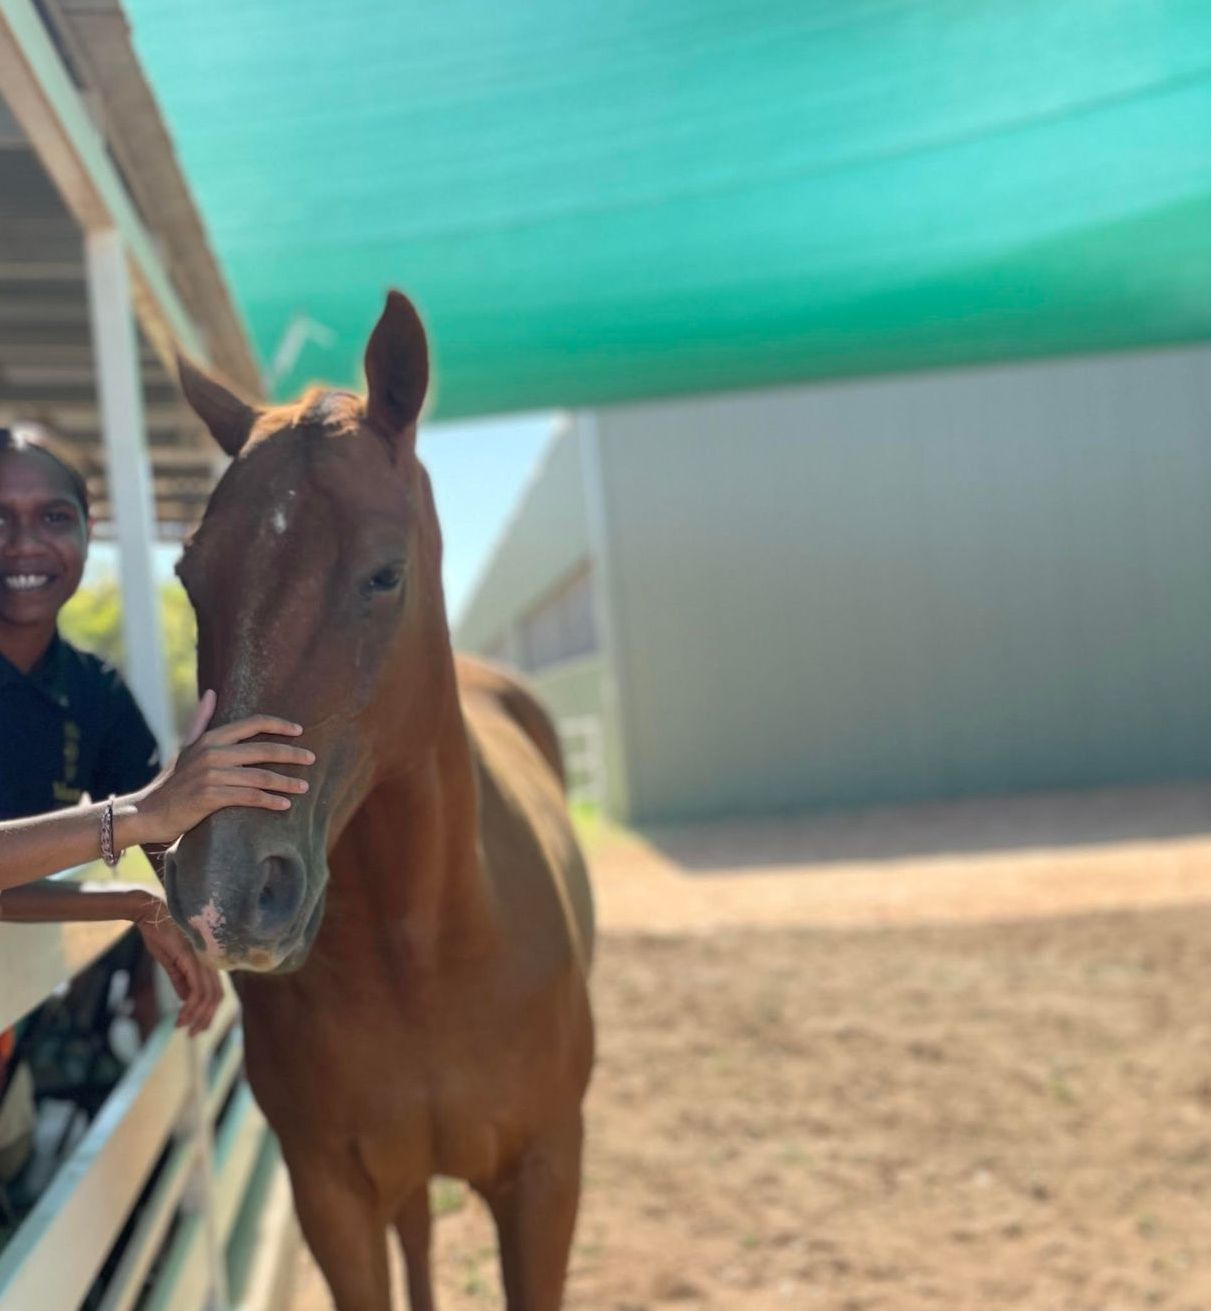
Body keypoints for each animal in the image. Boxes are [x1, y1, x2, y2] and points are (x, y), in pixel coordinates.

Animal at [162, 291, 595, 1311]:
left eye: (385, 573)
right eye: (191, 576)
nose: (222, 893)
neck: (425, 955)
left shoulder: (547, 1179)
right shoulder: (332, 1194)